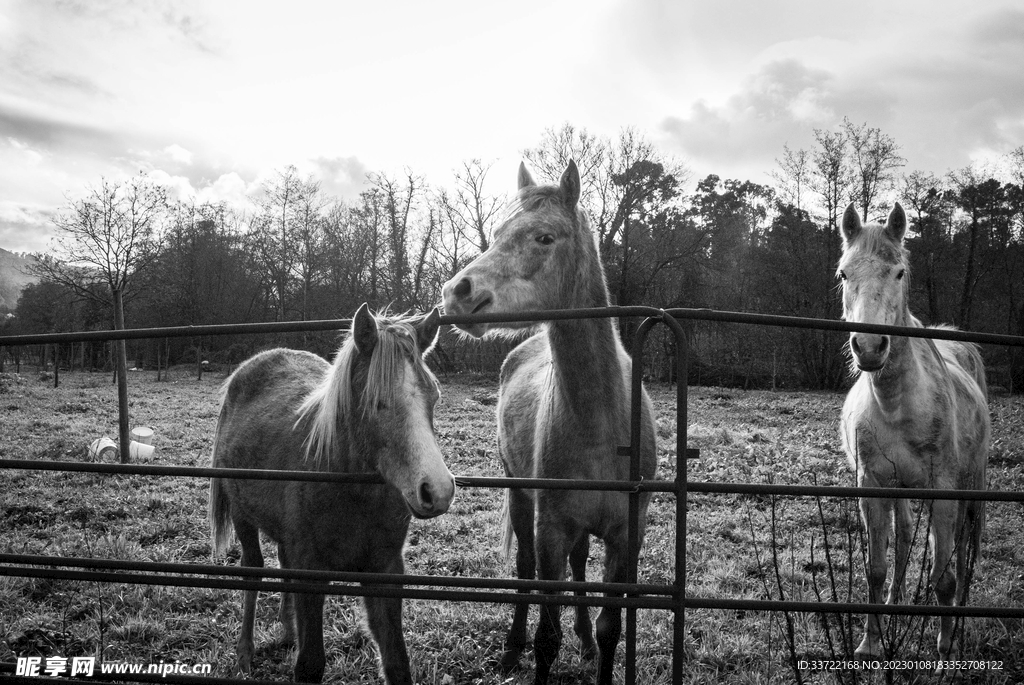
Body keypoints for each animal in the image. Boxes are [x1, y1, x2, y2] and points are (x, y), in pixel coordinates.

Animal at [208, 303, 456, 684]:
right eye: (376, 402)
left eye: (435, 396)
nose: (437, 491)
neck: (352, 492)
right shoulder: (311, 570)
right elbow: (310, 663)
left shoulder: (385, 570)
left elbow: (397, 662)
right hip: (242, 517)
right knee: (253, 570)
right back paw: (245, 653)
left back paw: (288, 632)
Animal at [441, 160, 658, 685]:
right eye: (499, 233)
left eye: (544, 237)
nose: (457, 293)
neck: (602, 424)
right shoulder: (551, 528)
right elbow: (546, 635)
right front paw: (532, 645)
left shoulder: (626, 536)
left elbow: (610, 628)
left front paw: (592, 642)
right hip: (521, 497)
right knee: (525, 570)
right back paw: (511, 647)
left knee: (578, 568)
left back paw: (582, 640)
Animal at [837, 203, 990, 667]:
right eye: (844, 273)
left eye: (899, 272)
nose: (870, 348)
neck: (898, 404)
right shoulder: (873, 486)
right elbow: (876, 568)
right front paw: (870, 642)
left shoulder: (944, 489)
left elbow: (944, 576)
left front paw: (945, 648)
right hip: (901, 487)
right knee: (904, 536)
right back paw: (896, 602)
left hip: (971, 484)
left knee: (964, 547)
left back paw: (960, 615)